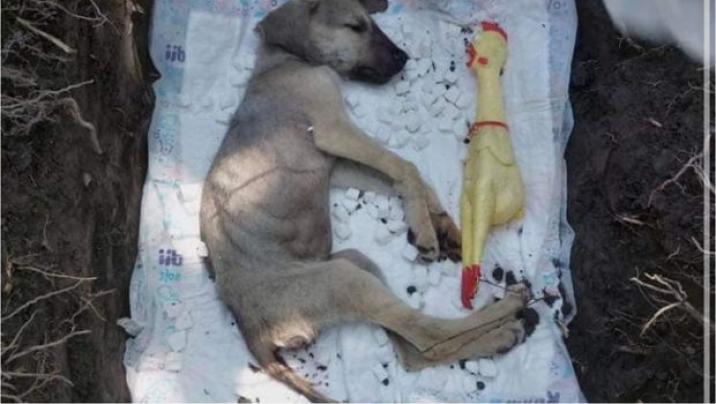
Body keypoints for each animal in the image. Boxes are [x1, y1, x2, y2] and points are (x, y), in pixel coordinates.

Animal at [200, 0, 536, 401]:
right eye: (356, 26)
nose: (404, 57)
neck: (284, 60)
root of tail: (252, 332)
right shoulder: (333, 130)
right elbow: (404, 165)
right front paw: (426, 230)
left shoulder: (339, 164)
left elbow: (406, 176)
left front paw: (440, 224)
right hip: (345, 280)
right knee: (426, 334)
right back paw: (506, 313)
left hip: (354, 262)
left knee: (414, 351)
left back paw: (496, 334)